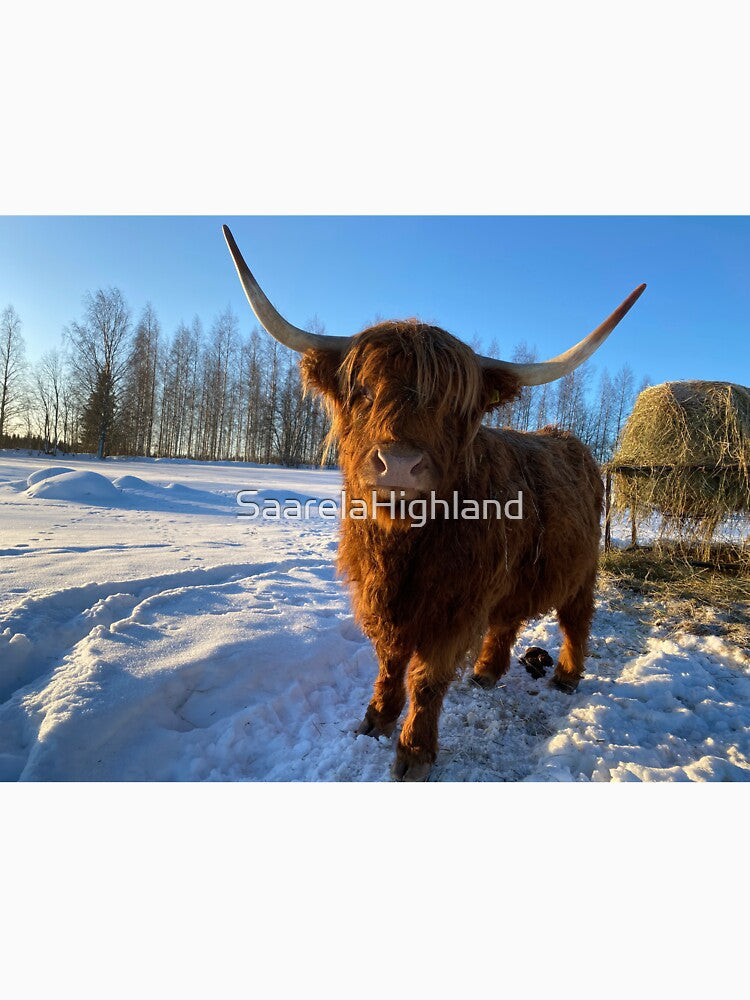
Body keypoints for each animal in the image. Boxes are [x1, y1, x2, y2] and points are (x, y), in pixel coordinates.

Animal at [223, 225, 646, 781]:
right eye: (363, 390)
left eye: (451, 404)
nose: (400, 464)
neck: (403, 548)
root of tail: (570, 441)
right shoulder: (384, 598)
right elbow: (389, 662)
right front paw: (375, 721)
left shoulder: (455, 605)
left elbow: (426, 677)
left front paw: (414, 753)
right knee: (508, 619)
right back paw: (487, 673)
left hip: (583, 567)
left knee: (577, 617)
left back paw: (567, 678)